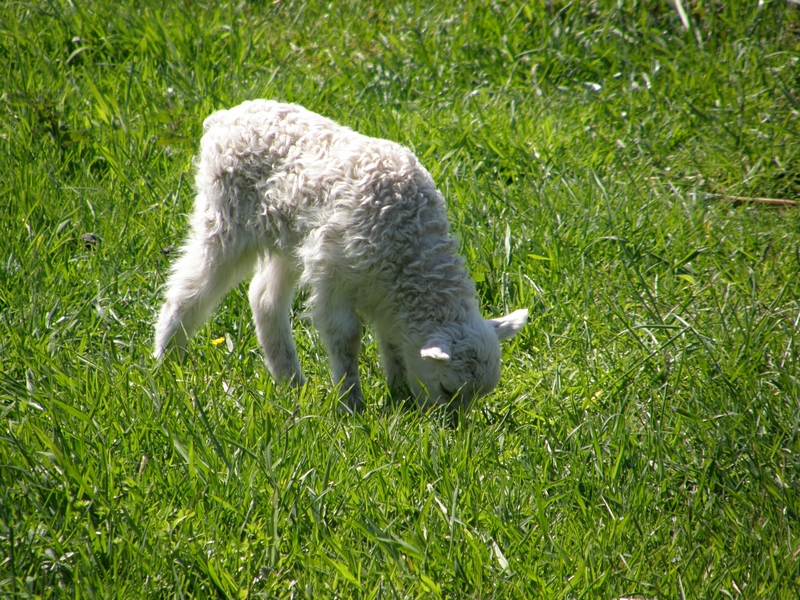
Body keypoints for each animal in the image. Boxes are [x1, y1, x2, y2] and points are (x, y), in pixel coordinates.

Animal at [153, 101, 528, 414]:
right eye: (448, 390)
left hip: (292, 239)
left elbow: (393, 341)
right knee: (190, 287)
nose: (453, 427)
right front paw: (352, 405)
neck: (410, 248)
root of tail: (224, 118)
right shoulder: (334, 276)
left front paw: (400, 395)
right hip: (226, 219)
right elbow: (346, 340)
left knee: (263, 297)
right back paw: (166, 360)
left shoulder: (378, 290)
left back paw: (290, 380)